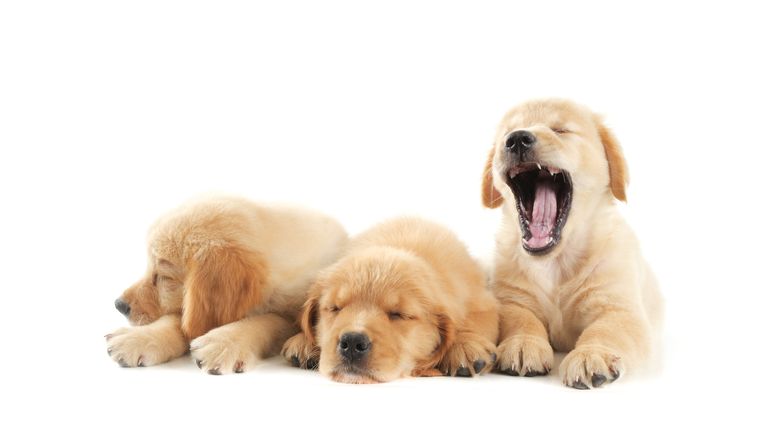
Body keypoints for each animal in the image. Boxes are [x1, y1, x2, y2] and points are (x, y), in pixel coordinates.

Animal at [105, 193, 348, 374]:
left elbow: (267, 320)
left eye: (165, 277)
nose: (119, 305)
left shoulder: (292, 311)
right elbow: (178, 321)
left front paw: (223, 342)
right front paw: (139, 338)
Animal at [280, 218, 498, 384]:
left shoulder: (482, 301)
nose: (352, 342)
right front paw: (303, 341)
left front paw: (464, 346)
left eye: (400, 315)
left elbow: (475, 322)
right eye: (334, 308)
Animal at [484, 99, 664, 390]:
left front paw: (591, 354)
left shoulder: (622, 309)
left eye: (561, 130)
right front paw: (523, 343)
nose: (517, 139)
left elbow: (607, 330)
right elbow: (519, 318)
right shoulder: (511, 299)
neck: (556, 262)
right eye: (506, 134)